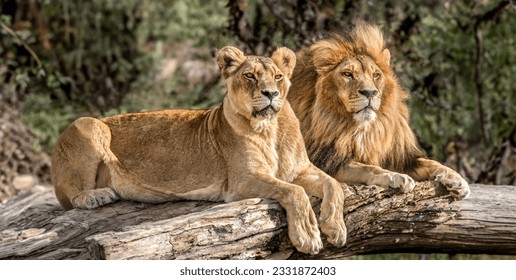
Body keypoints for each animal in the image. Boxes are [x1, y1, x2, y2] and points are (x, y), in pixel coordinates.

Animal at [51, 45, 346, 254]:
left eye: (278, 77)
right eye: (249, 75)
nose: (271, 93)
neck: (269, 127)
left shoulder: (300, 169)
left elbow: (334, 185)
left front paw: (335, 227)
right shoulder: (242, 181)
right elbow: (295, 192)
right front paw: (308, 236)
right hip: (88, 124)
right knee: (71, 198)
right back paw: (96, 196)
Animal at [288, 23, 470, 200]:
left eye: (375, 75)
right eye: (347, 74)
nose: (370, 92)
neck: (361, 129)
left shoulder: (400, 156)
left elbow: (430, 162)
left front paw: (457, 180)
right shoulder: (326, 160)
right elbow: (366, 168)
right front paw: (396, 176)